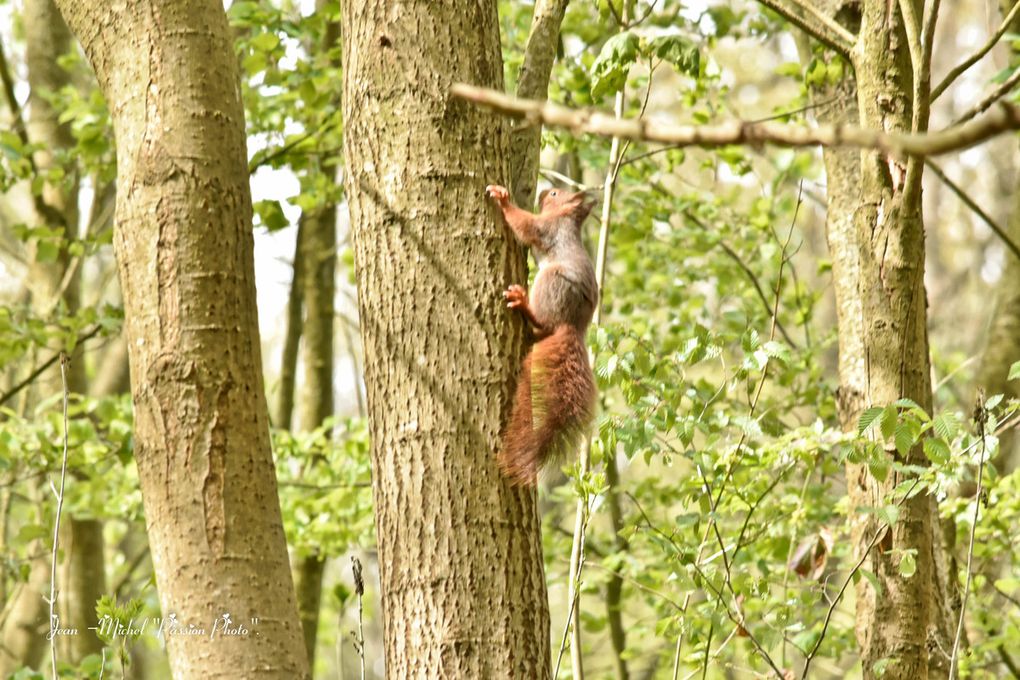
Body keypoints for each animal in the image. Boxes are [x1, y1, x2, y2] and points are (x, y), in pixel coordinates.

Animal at [485, 183, 595, 487]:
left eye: (556, 194)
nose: (544, 192)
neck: (567, 219)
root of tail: (573, 326)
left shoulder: (547, 228)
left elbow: (525, 225)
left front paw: (504, 199)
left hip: (550, 284)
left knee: (544, 324)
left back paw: (522, 303)